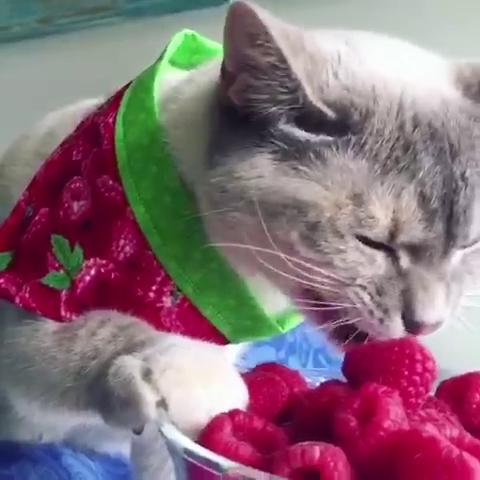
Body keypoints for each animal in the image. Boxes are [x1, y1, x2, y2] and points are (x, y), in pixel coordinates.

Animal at [0, 0, 480, 464]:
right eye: (373, 242)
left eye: (467, 245)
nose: (425, 325)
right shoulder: (26, 306)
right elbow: (107, 328)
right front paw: (204, 381)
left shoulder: (157, 438)